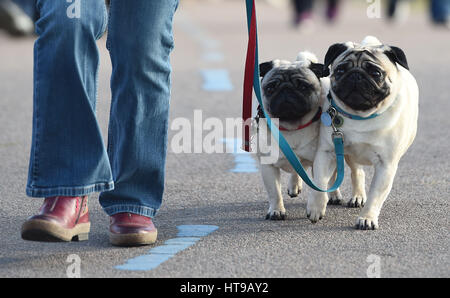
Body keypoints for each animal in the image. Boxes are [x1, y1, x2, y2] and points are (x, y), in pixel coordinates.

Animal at [255, 51, 342, 220]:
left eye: (303, 86)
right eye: (271, 87)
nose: (286, 89)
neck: (292, 126)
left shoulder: (320, 161)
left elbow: (320, 184)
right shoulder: (268, 167)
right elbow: (274, 192)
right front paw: (276, 211)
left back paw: (335, 195)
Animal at [308, 36, 420, 229]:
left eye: (375, 73)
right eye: (341, 70)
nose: (356, 75)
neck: (361, 116)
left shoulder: (385, 166)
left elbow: (375, 195)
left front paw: (367, 218)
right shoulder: (326, 152)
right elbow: (320, 182)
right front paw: (316, 207)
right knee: (357, 172)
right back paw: (355, 196)